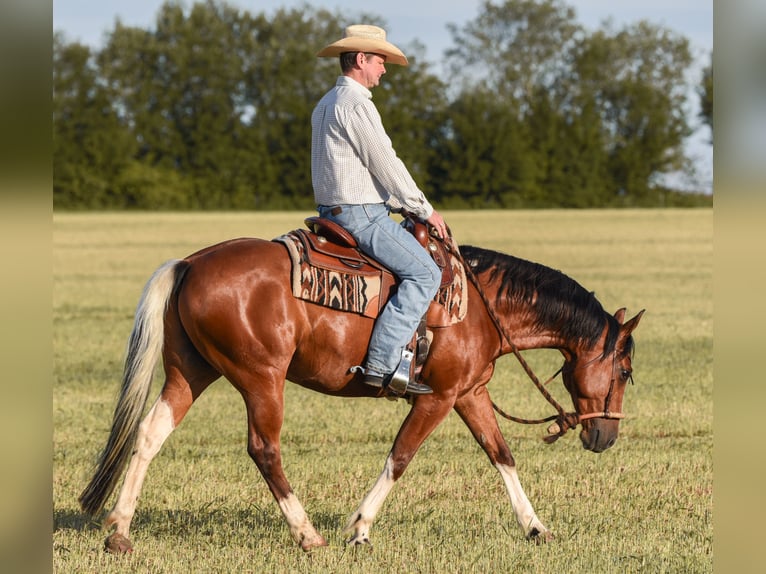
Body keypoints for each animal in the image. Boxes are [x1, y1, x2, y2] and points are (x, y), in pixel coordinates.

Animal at [78, 229, 643, 553]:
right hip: (261, 378)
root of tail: (190, 264)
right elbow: (401, 456)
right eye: (624, 370)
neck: (483, 307)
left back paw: (120, 531)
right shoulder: (437, 397)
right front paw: (360, 527)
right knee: (264, 449)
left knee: (149, 435)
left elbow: (501, 454)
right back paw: (308, 535)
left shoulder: (469, 393)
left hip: (189, 372)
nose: (605, 437)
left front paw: (536, 528)